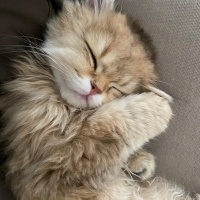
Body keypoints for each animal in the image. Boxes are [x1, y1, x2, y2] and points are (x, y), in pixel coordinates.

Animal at [0, 0, 198, 200]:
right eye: (93, 56)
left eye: (116, 88)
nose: (96, 88)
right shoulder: (49, 172)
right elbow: (109, 124)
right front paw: (159, 108)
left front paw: (139, 163)